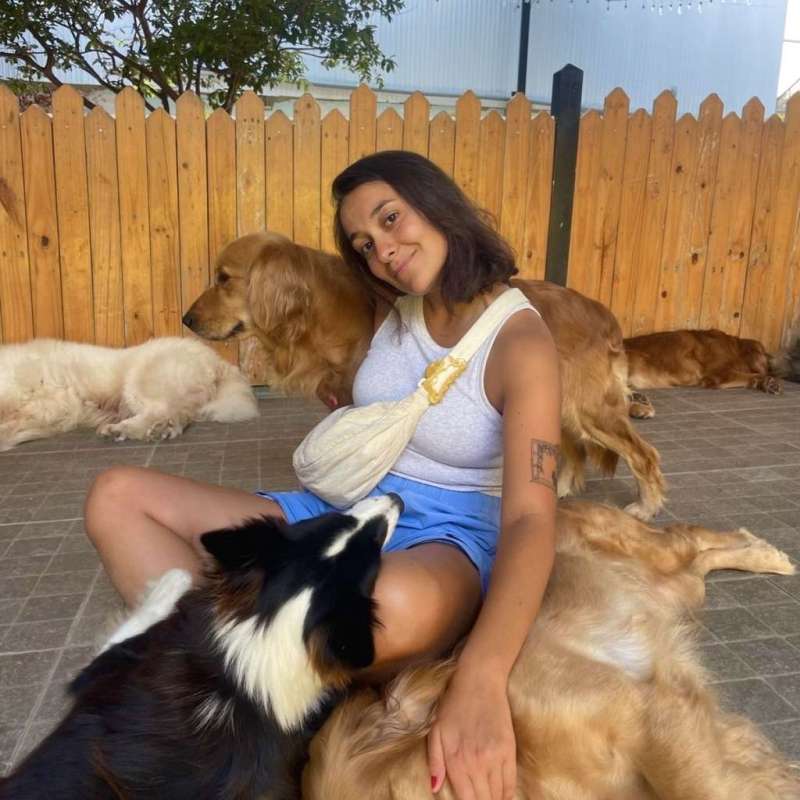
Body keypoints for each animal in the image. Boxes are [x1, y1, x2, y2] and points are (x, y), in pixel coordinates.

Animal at [0, 336, 258, 450]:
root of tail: (215, 359)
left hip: (138, 383)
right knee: (178, 416)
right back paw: (159, 430)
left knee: (160, 410)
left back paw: (121, 429)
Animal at [183, 232, 665, 519]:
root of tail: (601, 312)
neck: (317, 309)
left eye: (224, 278)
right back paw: (562, 490)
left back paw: (646, 507)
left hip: (590, 408)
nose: (186, 319)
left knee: (643, 455)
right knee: (573, 450)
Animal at [304, 500, 800, 800]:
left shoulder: (651, 711)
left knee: (689, 534)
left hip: (660, 559)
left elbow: (707, 787)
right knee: (699, 555)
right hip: (680, 589)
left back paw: (765, 553)